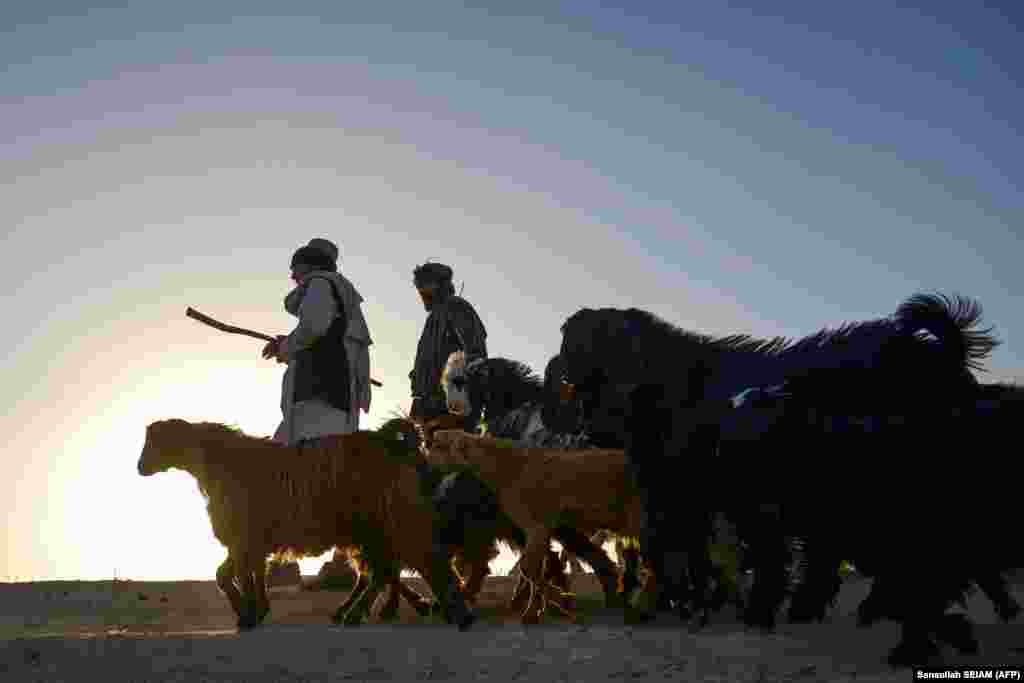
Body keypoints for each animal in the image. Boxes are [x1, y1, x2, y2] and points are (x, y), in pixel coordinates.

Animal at [137, 419, 491, 634]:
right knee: (384, 572)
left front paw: (246, 613)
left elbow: (226, 575)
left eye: (155, 441)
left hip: (394, 521)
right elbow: (249, 575)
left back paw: (453, 612)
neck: (223, 463)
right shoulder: (252, 541)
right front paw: (254, 611)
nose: (140, 467)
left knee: (422, 563)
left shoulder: (245, 538)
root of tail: (391, 441)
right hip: (375, 530)